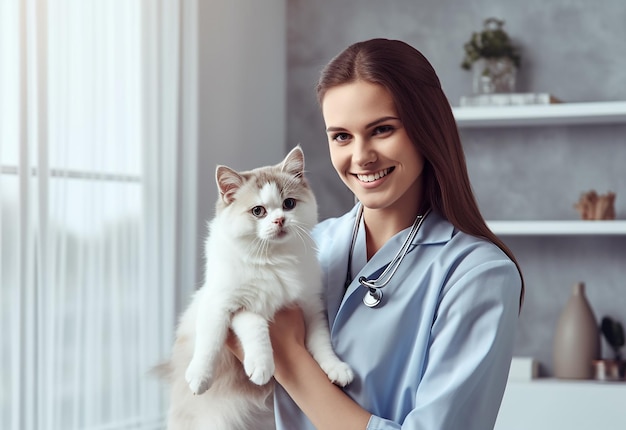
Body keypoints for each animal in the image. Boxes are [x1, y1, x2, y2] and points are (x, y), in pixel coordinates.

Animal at [162, 146, 352, 428]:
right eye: (258, 211)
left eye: (289, 204)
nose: (280, 220)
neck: (273, 259)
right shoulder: (223, 304)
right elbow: (222, 337)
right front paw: (207, 375)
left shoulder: (311, 308)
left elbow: (321, 344)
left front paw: (336, 368)